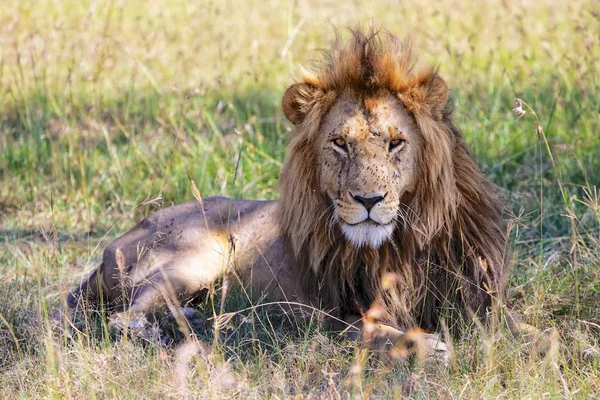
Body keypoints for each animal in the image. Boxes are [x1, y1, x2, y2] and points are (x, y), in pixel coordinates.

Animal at [69, 29, 510, 362]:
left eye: (396, 142)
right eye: (339, 143)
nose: (368, 200)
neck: (397, 246)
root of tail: (110, 247)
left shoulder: (481, 302)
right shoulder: (324, 314)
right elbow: (370, 329)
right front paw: (424, 344)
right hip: (198, 253)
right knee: (123, 318)